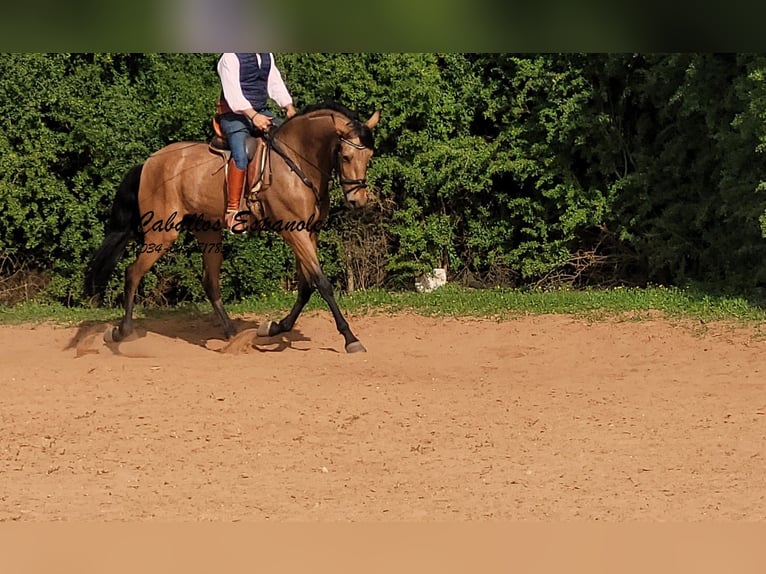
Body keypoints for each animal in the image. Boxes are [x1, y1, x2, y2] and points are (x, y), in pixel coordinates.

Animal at [85, 101, 380, 354]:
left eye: (369, 156)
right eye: (345, 156)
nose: (358, 200)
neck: (297, 162)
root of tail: (149, 162)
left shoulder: (309, 231)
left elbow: (307, 285)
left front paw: (275, 327)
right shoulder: (293, 232)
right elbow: (322, 283)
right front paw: (350, 338)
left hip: (208, 231)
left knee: (210, 281)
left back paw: (230, 332)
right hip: (162, 233)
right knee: (133, 272)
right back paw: (121, 332)